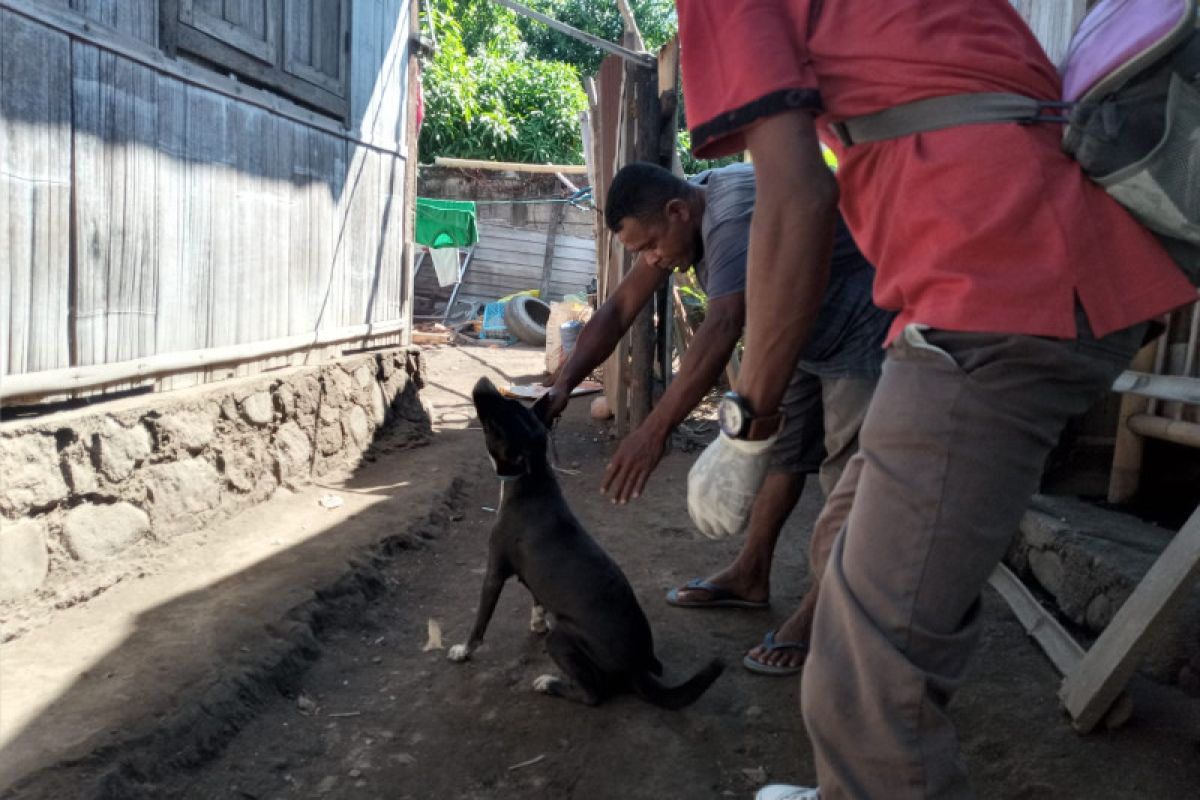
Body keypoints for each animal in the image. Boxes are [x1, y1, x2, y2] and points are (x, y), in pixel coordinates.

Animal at [451, 376, 724, 705]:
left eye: (495, 422)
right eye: (513, 405)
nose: (483, 382)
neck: (532, 478)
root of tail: (636, 668)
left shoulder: (494, 572)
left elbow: (480, 622)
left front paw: (463, 651)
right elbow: (537, 601)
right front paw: (537, 623)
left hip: (562, 638)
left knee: (593, 694)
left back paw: (550, 684)